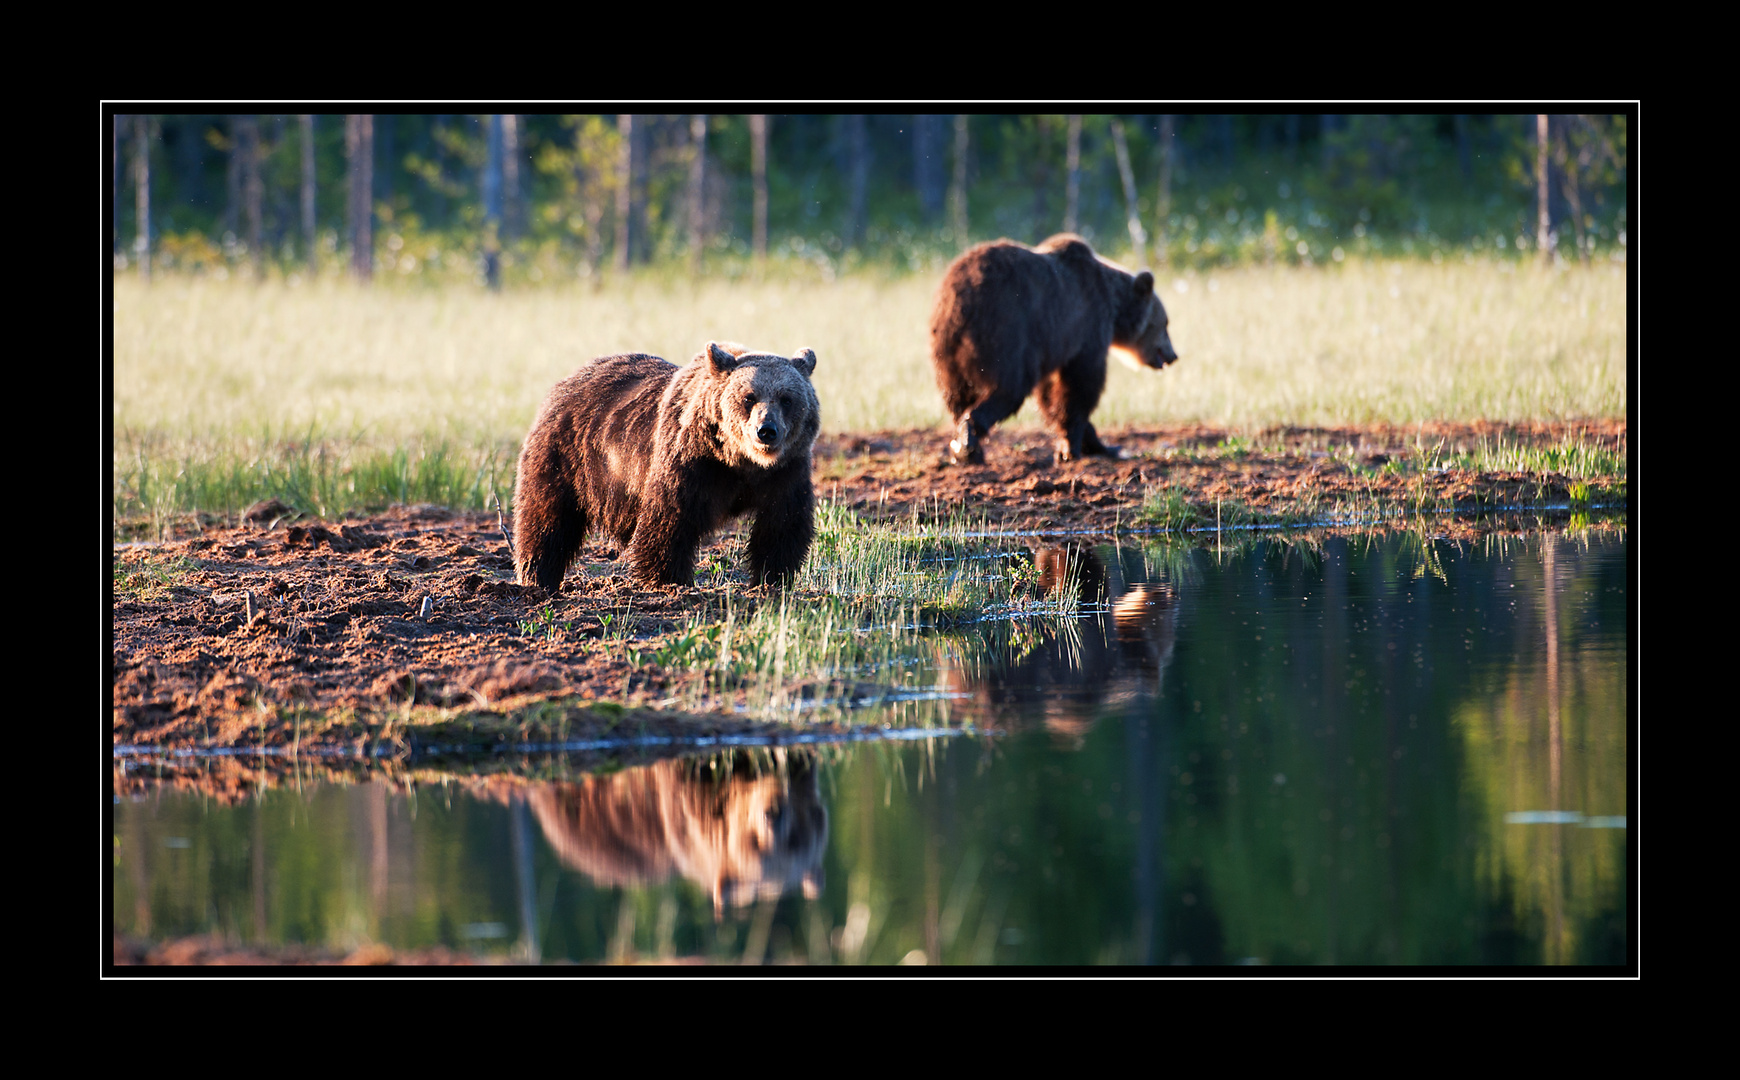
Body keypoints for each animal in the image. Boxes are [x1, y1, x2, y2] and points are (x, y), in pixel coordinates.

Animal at [511, 340, 817, 591]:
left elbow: (781, 526)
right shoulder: (690, 462)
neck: (738, 462)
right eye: (748, 397)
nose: (766, 430)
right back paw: (537, 577)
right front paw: (669, 581)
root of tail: (566, 381)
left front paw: (772, 579)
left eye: (787, 399)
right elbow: (668, 520)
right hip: (566, 457)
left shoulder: (786, 473)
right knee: (547, 518)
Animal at [925, 233, 1183, 466]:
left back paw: (967, 449)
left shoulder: (1054, 345)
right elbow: (1081, 385)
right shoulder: (1085, 326)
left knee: (957, 397)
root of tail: (961, 301)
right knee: (1010, 387)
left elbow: (1052, 395)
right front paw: (1072, 449)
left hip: (946, 350)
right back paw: (968, 442)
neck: (1115, 308)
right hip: (1006, 331)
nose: (1173, 355)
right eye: (1166, 323)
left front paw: (1103, 445)